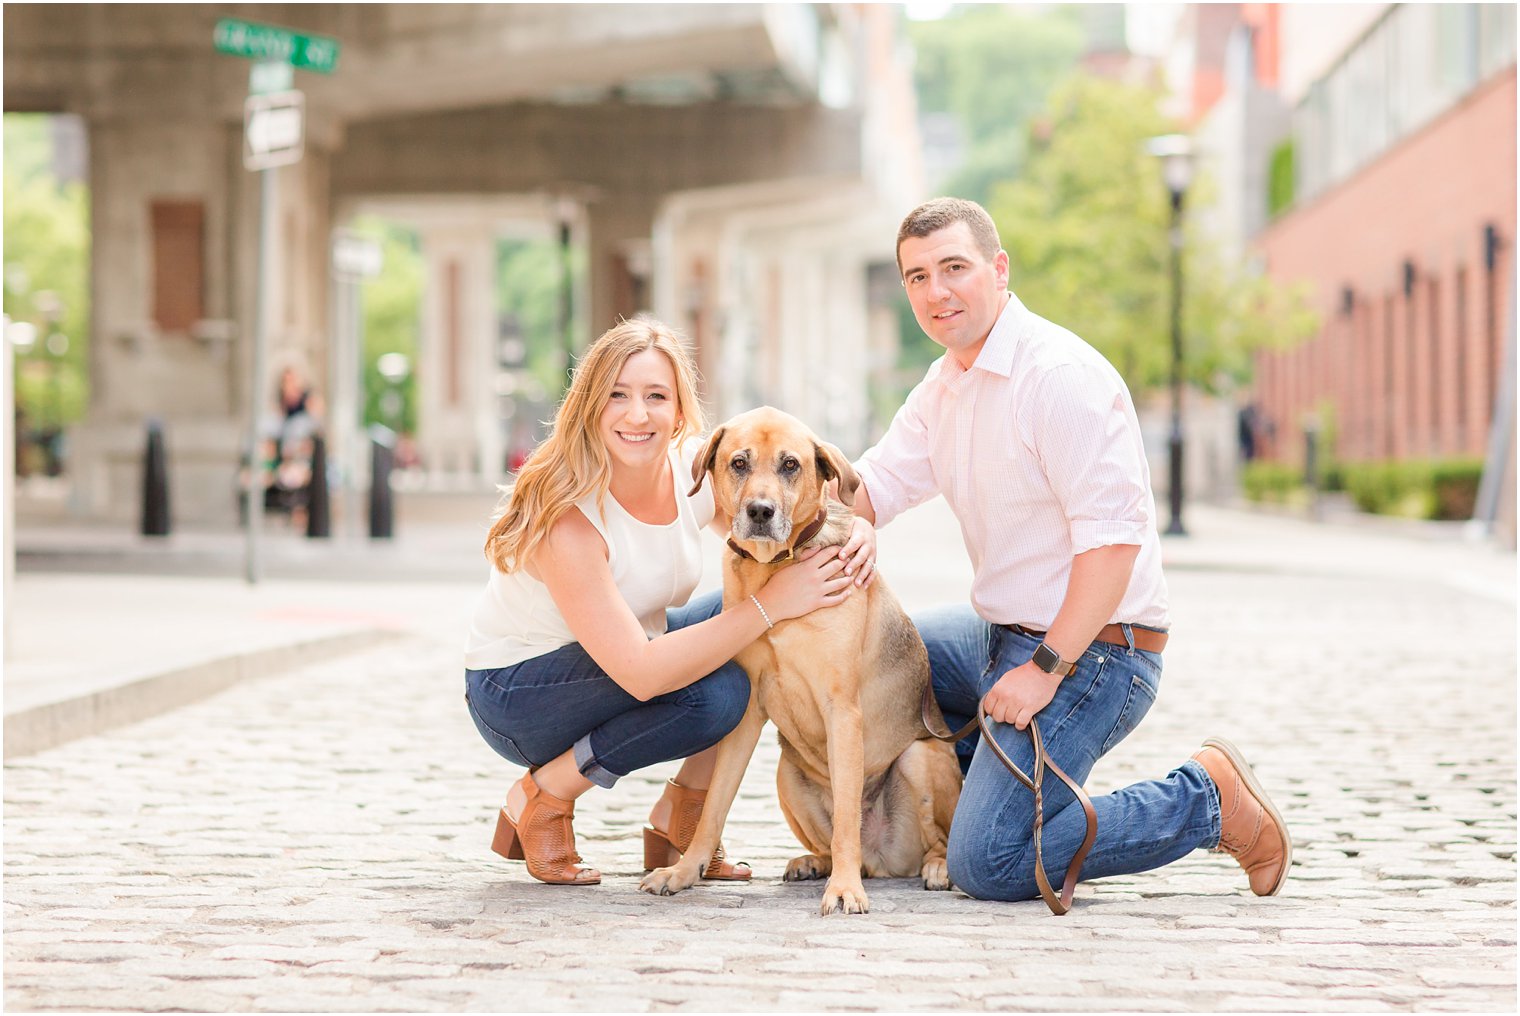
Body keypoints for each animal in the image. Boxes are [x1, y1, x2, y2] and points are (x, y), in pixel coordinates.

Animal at [641, 407, 960, 918]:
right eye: (739, 463)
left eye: (791, 464)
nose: (760, 511)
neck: (775, 569)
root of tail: (882, 859)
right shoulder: (748, 714)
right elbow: (714, 807)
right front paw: (684, 871)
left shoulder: (842, 710)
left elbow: (848, 816)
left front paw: (845, 890)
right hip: (786, 772)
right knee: (836, 843)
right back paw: (815, 862)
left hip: (918, 756)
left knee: (928, 841)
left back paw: (935, 868)